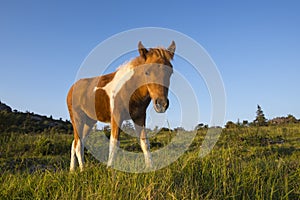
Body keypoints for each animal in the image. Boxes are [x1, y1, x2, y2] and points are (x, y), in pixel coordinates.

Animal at [67, 41, 175, 172]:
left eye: (170, 72)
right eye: (147, 71)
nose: (161, 104)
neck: (129, 88)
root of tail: (71, 89)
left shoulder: (139, 117)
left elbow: (144, 142)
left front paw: (150, 167)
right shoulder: (116, 117)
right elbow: (114, 143)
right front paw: (109, 168)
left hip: (89, 121)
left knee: (76, 142)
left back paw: (72, 170)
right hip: (77, 119)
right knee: (78, 144)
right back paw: (82, 169)